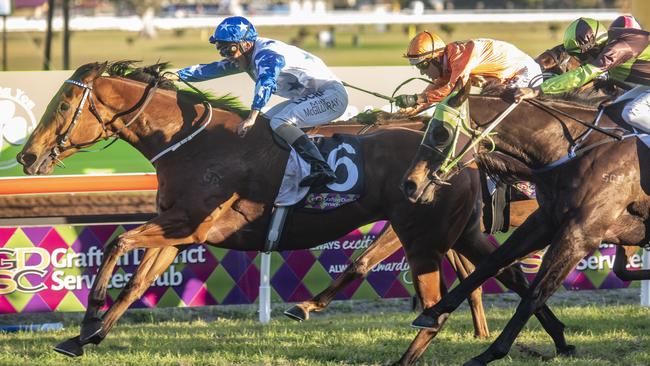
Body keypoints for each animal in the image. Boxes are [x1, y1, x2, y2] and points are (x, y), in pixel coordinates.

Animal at [16, 62, 572, 364]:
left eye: (63, 104)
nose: (26, 156)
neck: (188, 142)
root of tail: (462, 152)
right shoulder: (179, 233)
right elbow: (135, 283)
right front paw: (84, 338)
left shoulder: (188, 223)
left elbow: (116, 242)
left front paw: (88, 318)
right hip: (459, 232)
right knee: (506, 273)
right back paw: (557, 339)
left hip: (421, 236)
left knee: (441, 299)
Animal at [400, 84, 648, 364]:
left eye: (441, 133)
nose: (410, 185)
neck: (577, 149)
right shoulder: (546, 221)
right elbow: (491, 264)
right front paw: (432, 313)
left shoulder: (581, 233)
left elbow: (534, 294)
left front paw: (488, 354)